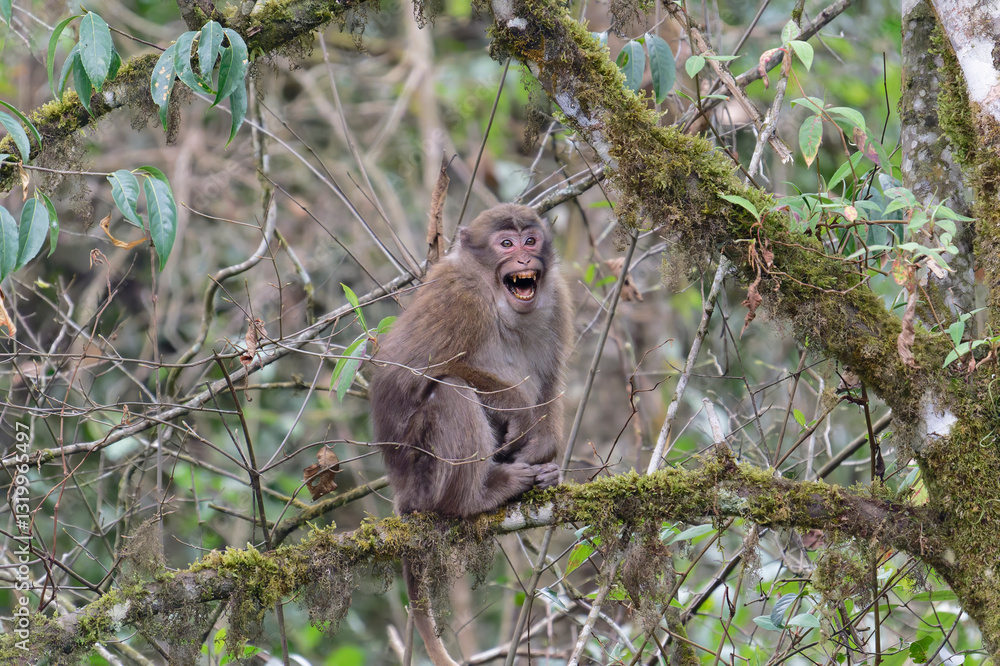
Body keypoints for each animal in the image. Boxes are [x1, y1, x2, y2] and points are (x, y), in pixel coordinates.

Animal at [369, 203, 572, 665]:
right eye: (506, 243)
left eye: (531, 239)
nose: (524, 257)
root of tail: (403, 490)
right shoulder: (459, 295)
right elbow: (401, 373)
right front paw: (517, 405)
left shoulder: (558, 299)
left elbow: (551, 383)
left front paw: (545, 451)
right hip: (424, 475)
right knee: (452, 390)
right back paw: (475, 498)